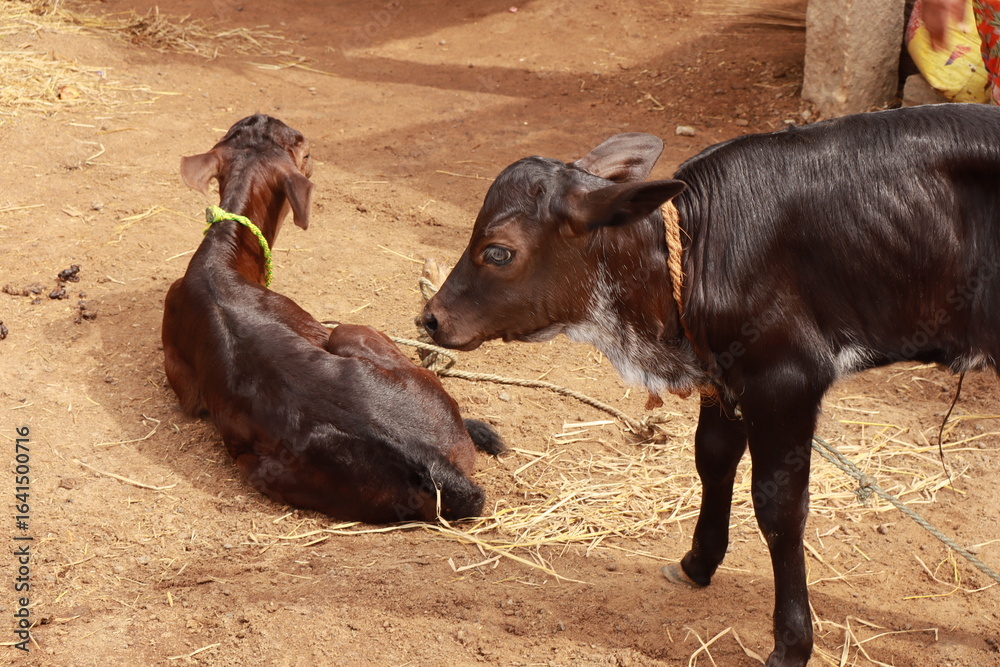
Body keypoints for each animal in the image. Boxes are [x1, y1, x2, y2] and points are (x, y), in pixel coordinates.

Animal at [420, 104, 1000, 666]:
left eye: (498, 251)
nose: (431, 318)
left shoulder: (784, 378)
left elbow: (779, 506)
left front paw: (791, 644)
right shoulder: (725, 377)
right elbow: (713, 460)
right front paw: (698, 562)